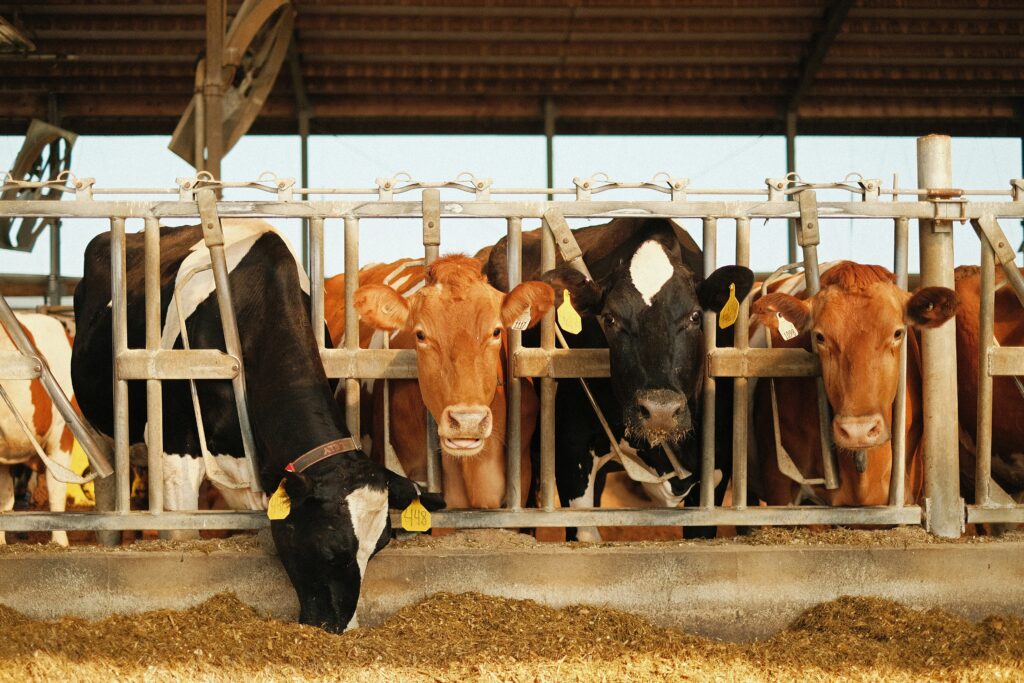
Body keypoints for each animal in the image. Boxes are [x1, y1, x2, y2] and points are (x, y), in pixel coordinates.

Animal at [72, 222, 440, 634]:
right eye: (331, 548)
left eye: (379, 547)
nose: (343, 629)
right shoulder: (174, 451)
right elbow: (182, 535)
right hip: (99, 430)